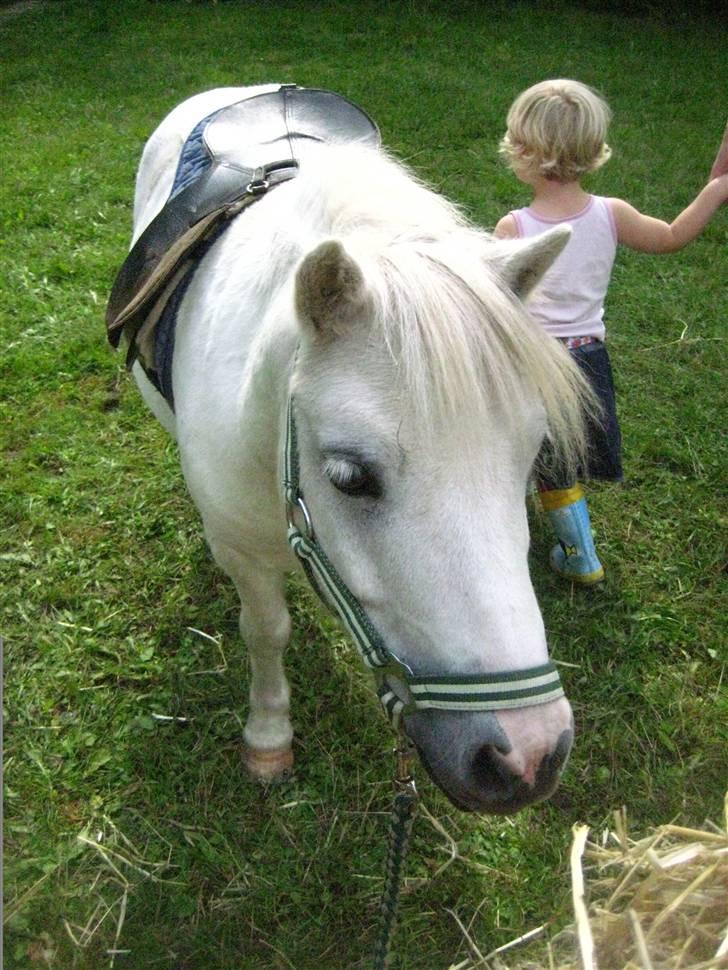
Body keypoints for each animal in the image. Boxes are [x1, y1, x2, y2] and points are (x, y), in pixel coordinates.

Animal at [110, 85, 591, 815]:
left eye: (533, 457)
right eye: (349, 476)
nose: (527, 757)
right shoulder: (246, 552)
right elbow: (266, 630)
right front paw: (269, 734)